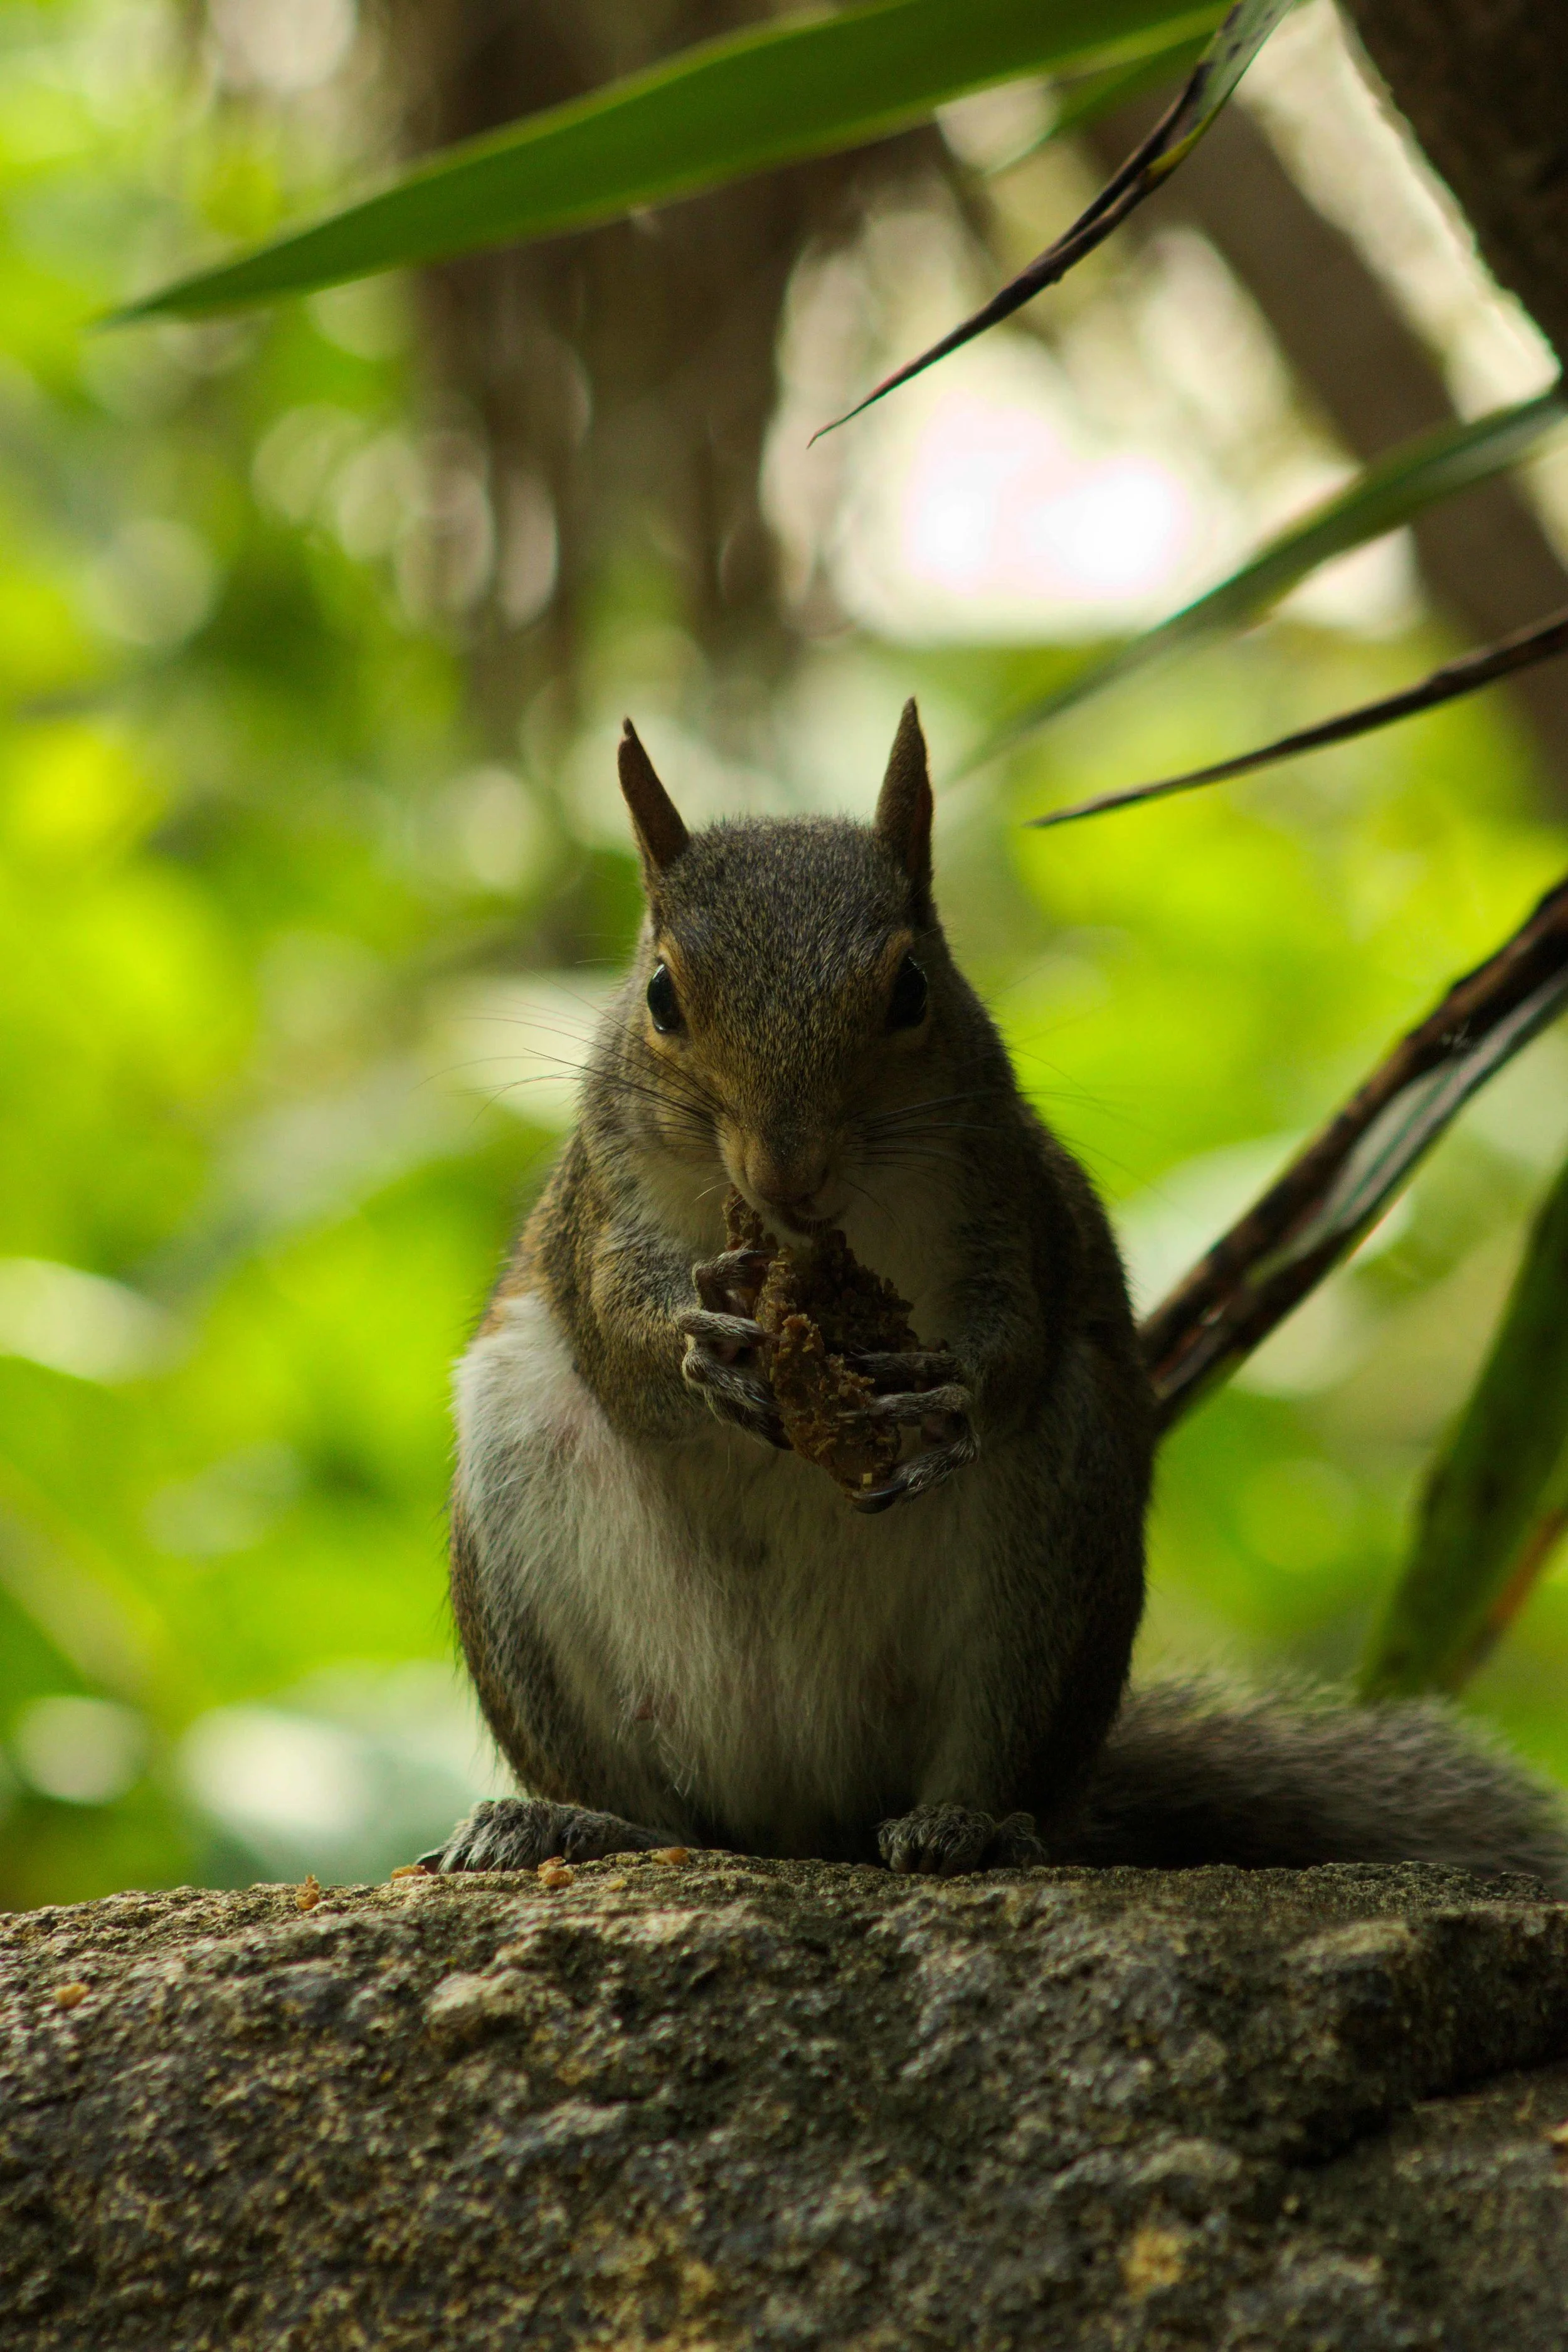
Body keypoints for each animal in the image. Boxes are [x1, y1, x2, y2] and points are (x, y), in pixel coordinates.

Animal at [425, 702, 1568, 1888]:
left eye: (910, 990)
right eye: (661, 995)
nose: (789, 1172)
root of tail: (803, 1824)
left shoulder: (1010, 1204)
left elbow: (1016, 1334)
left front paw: (950, 1391)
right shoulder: (600, 1207)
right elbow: (614, 1333)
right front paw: (699, 1349)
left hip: (1057, 1537)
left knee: (993, 1745)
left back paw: (967, 1826)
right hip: (527, 1510)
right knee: (657, 1809)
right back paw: (574, 1822)